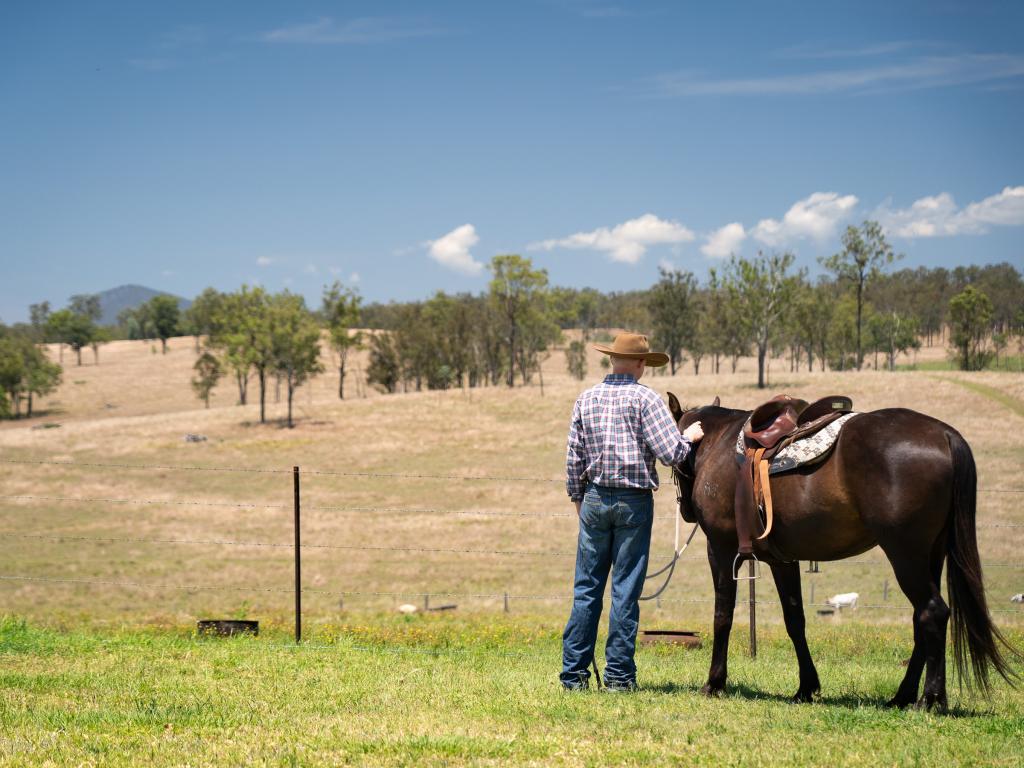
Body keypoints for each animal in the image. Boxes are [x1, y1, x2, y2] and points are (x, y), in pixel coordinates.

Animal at [663, 393, 1015, 712]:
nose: (687, 511)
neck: (719, 445)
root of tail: (944, 434)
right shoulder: (782, 560)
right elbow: (795, 620)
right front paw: (806, 687)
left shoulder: (721, 550)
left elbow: (723, 615)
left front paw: (714, 682)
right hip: (932, 554)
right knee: (922, 618)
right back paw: (902, 696)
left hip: (905, 554)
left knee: (933, 612)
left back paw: (930, 699)